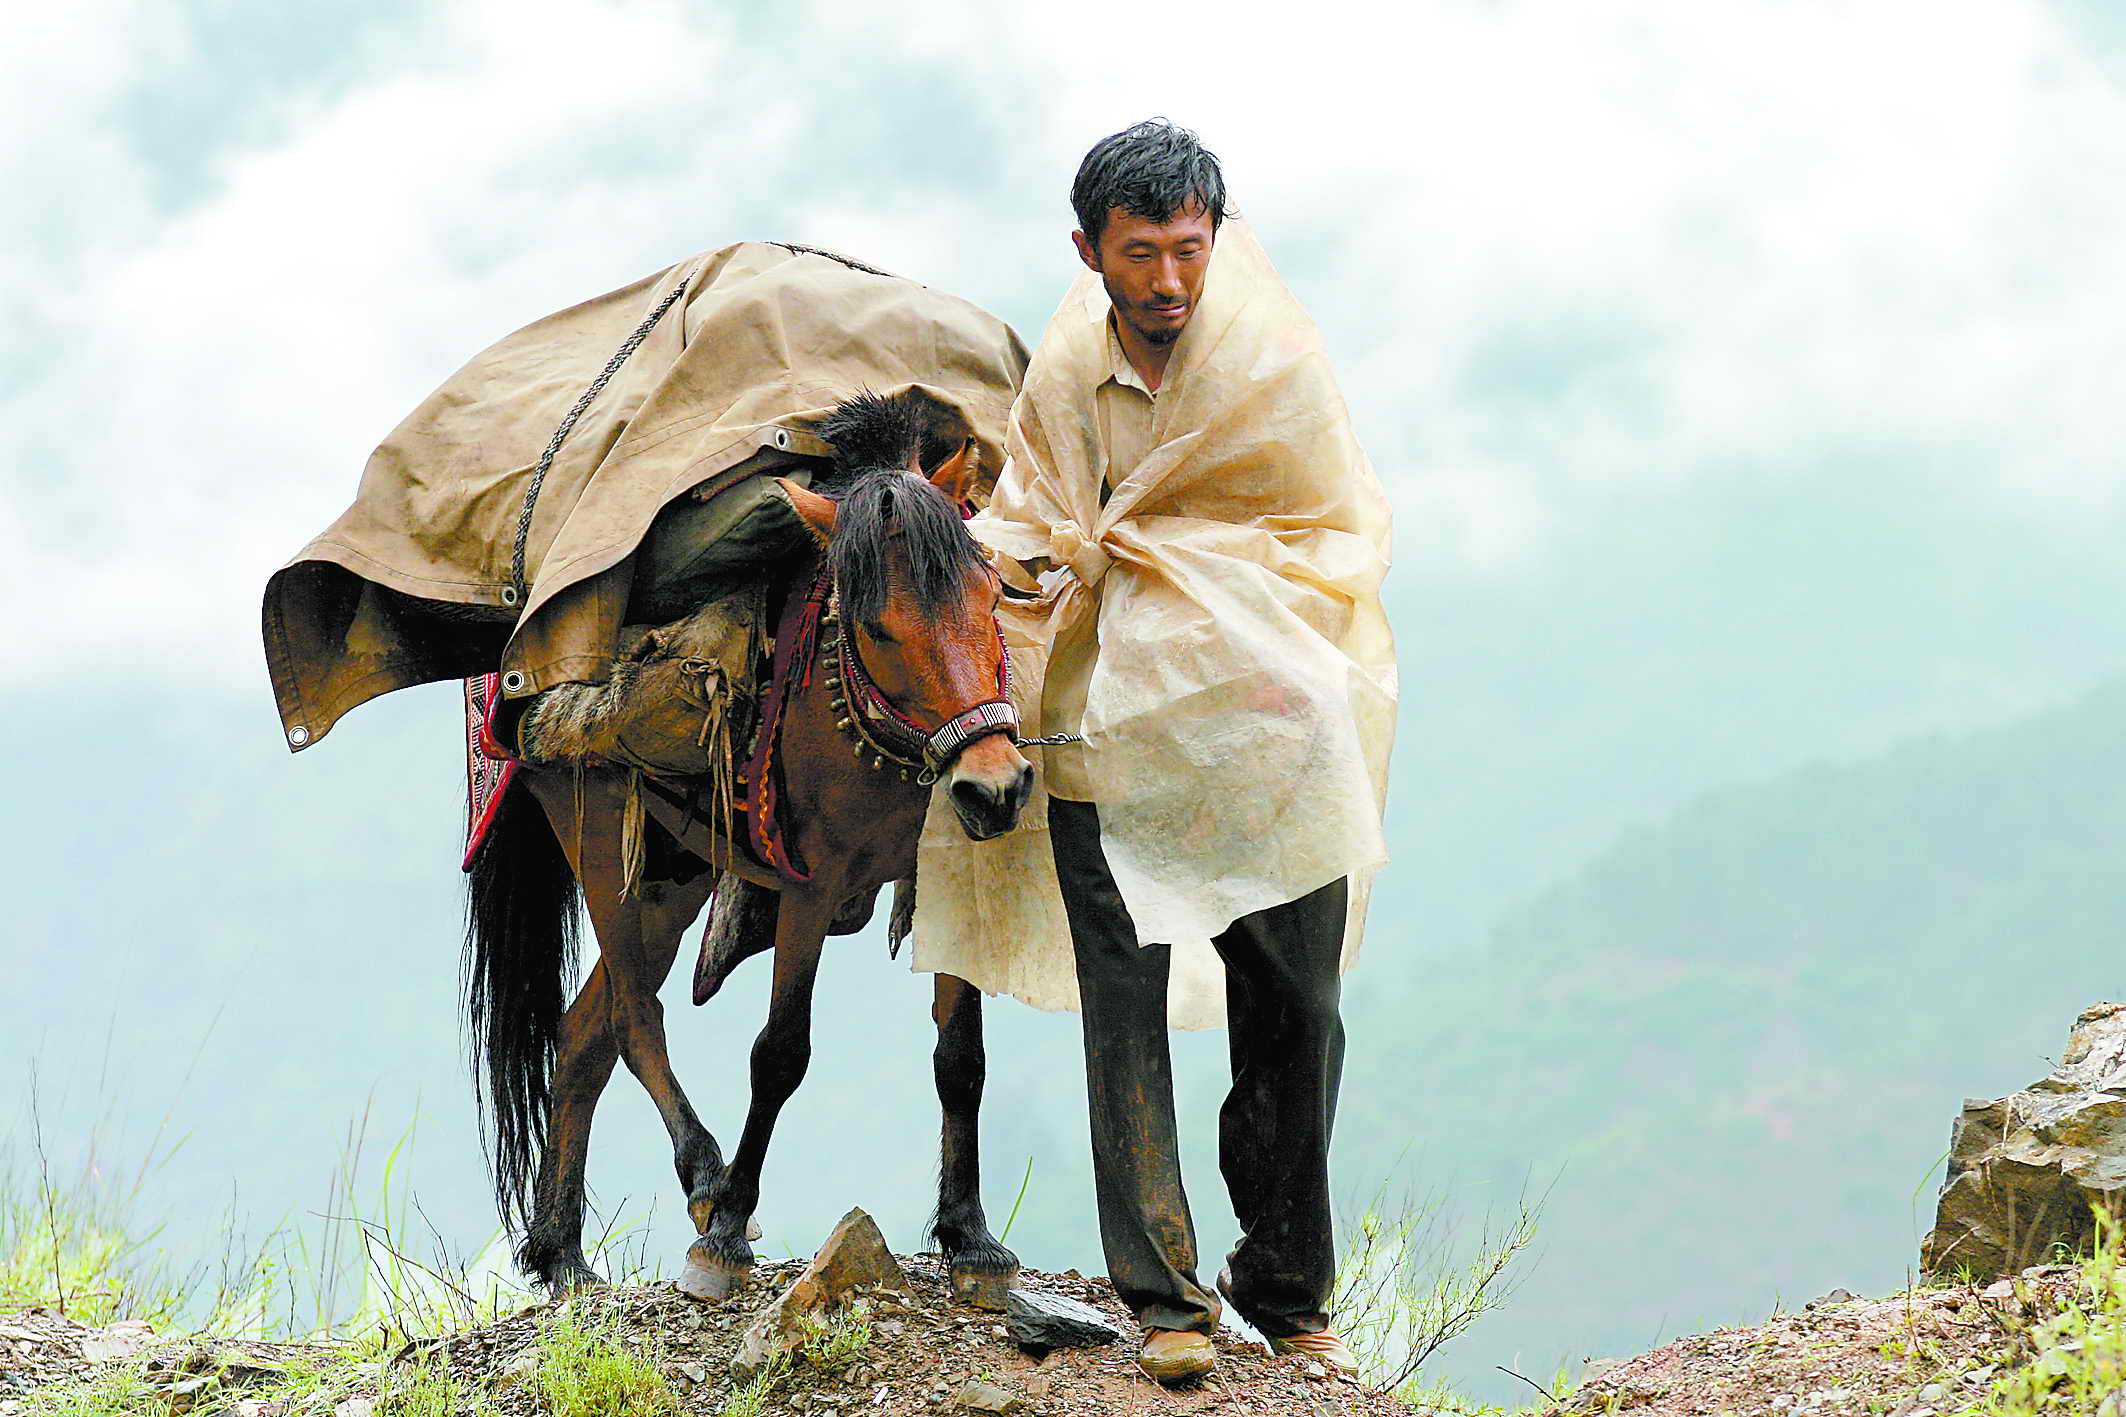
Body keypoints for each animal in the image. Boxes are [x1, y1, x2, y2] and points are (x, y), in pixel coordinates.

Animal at [463, 388, 1037, 1308]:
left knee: (584, 1034)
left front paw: (972, 1237)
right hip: (603, 847)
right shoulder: (808, 885)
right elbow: (780, 1053)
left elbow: (962, 1057)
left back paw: (563, 1257)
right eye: (875, 626)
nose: (995, 787)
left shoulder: (949, 875)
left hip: (675, 874)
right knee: (632, 1019)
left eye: (990, 595)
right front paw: (726, 1233)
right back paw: (704, 1179)